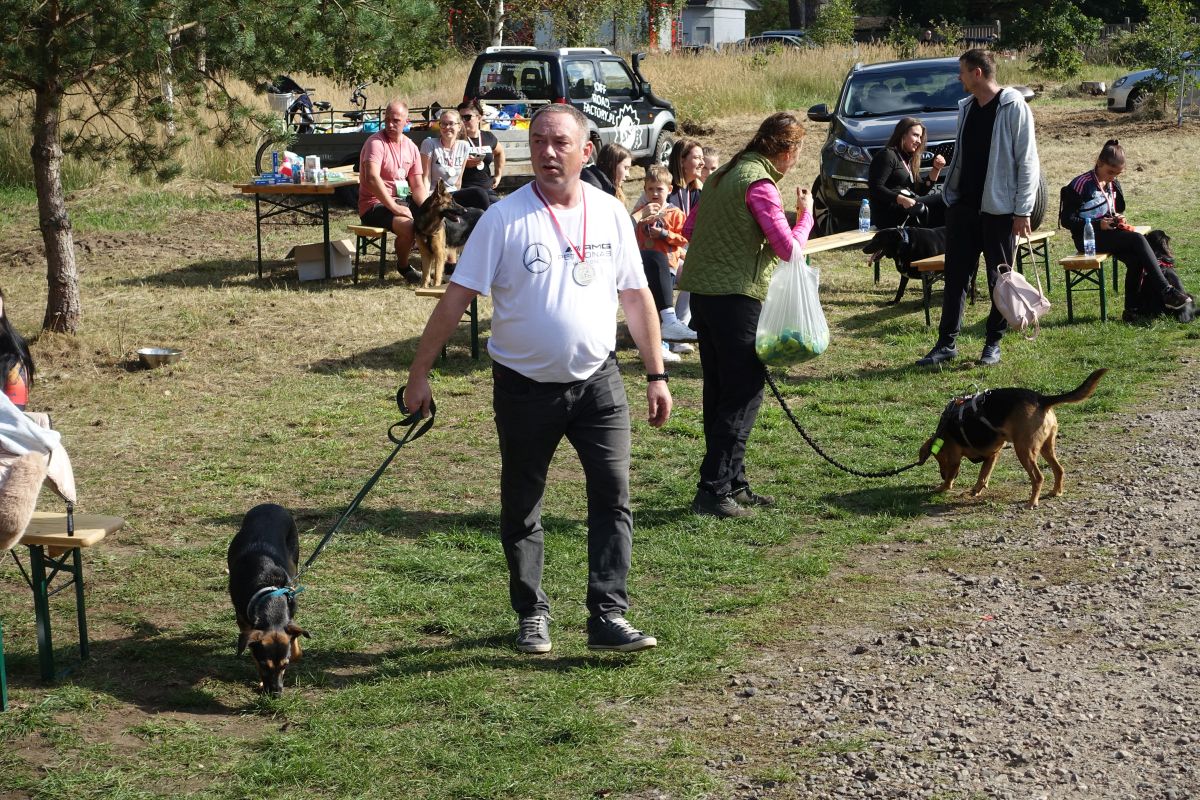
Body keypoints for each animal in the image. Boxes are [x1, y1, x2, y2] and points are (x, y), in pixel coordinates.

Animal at [227, 503, 309, 696]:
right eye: (265, 665)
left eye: (285, 665)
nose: (276, 694)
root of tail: (270, 505)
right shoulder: (244, 623)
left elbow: (295, 643)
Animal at [918, 369, 1107, 508]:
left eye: (938, 458)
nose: (941, 475)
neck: (945, 430)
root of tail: (1041, 399)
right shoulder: (993, 454)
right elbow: (983, 475)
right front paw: (976, 490)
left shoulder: (955, 458)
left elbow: (952, 477)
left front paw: (942, 487)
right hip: (1046, 447)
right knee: (1059, 469)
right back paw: (1056, 492)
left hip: (1024, 450)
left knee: (1038, 477)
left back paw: (1032, 502)